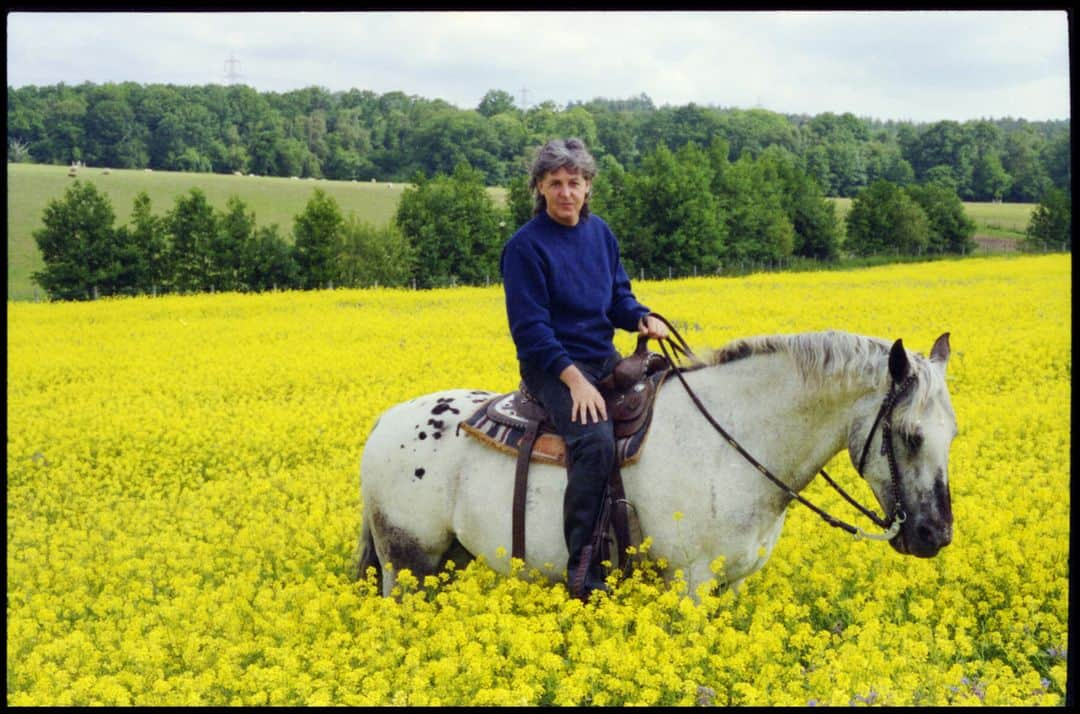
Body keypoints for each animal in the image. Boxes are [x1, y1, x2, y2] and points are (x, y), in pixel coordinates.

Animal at [358, 330, 959, 600]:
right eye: (910, 436)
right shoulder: (690, 583)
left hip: (449, 562)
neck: (734, 440)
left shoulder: (731, 587)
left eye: (952, 434)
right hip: (407, 566)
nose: (936, 535)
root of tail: (384, 422)